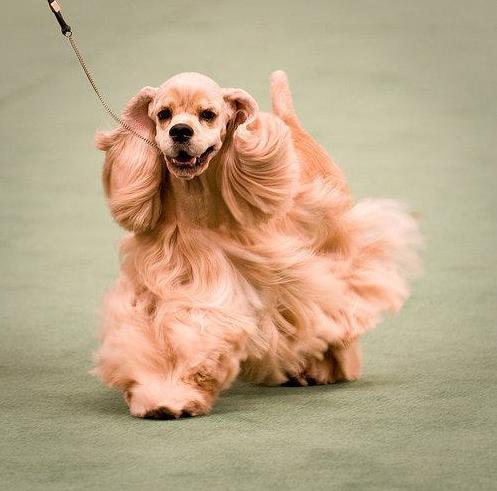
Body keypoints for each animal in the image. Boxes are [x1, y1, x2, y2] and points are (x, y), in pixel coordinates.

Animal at [92, 72, 418, 418]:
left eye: (208, 114)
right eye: (163, 114)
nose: (179, 131)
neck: (196, 200)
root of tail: (292, 124)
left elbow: (203, 326)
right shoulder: (159, 281)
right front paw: (161, 396)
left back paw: (323, 368)